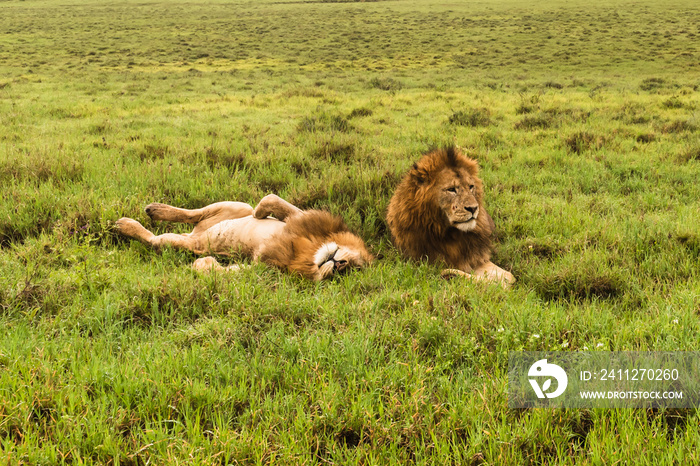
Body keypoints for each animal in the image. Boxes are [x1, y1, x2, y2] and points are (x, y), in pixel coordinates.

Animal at [388, 147, 516, 288]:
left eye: (471, 187)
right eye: (451, 189)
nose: (473, 208)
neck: (449, 233)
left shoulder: (476, 258)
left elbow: (510, 277)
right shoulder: (423, 265)